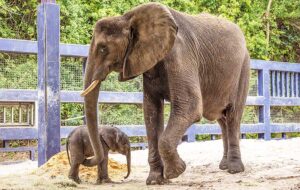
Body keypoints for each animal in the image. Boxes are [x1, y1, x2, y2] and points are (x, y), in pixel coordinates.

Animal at [81, 2, 250, 185]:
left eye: (103, 49)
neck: (128, 18)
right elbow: (151, 112)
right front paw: (155, 181)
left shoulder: (180, 55)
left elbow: (189, 106)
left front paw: (175, 172)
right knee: (222, 118)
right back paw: (224, 166)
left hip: (243, 69)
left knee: (233, 116)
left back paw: (234, 170)